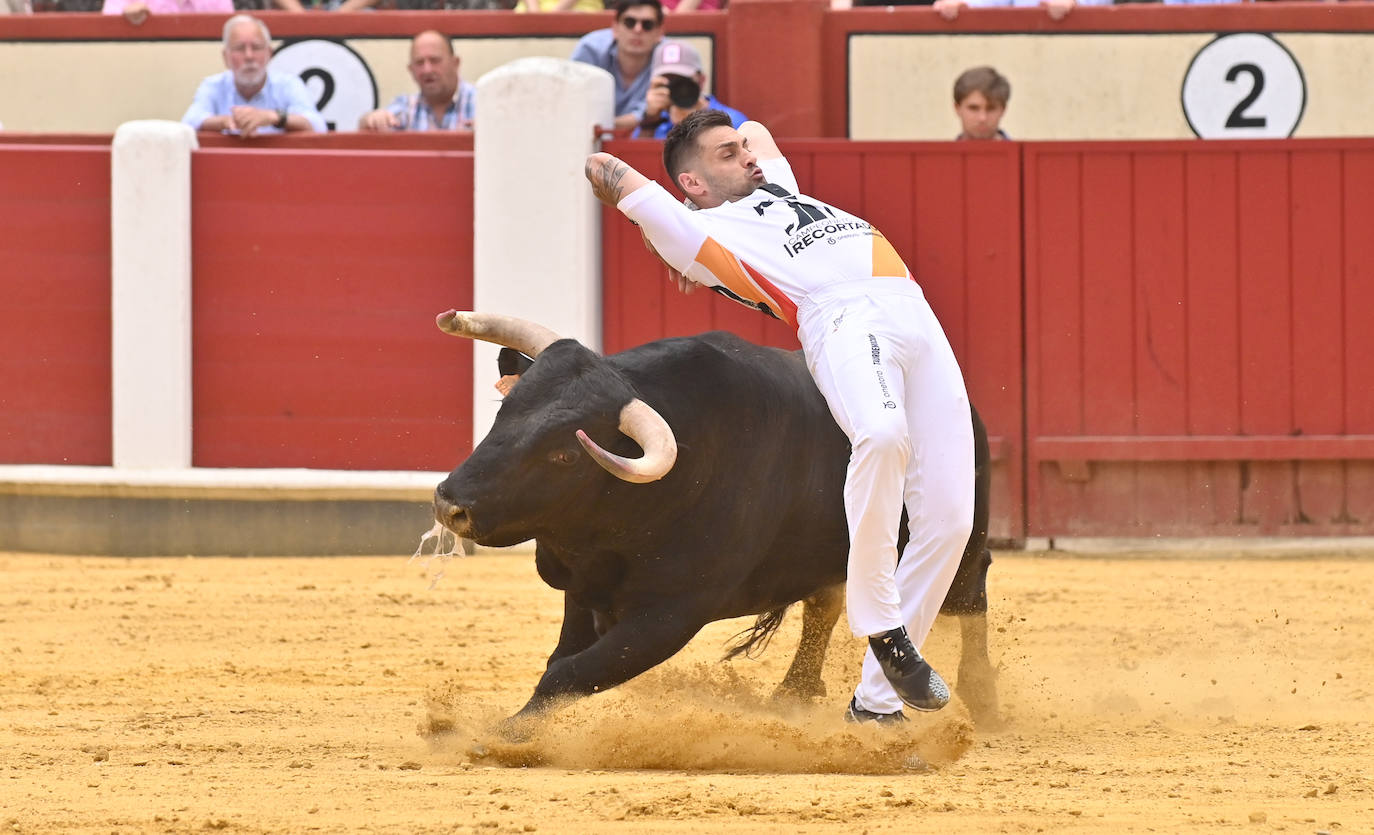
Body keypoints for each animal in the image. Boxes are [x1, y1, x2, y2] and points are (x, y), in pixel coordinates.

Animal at [431, 310, 1000, 725]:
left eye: (566, 455)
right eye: (505, 413)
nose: (449, 502)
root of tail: (966, 406)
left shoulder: (672, 613)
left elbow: (572, 672)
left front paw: (505, 736)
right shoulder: (586, 589)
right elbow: (561, 663)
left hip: (958, 535)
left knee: (968, 596)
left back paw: (980, 700)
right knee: (827, 602)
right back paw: (792, 693)